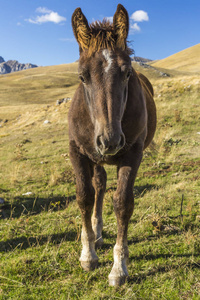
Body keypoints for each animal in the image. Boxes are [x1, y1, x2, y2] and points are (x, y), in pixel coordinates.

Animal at [68, 4, 156, 286]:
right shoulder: (77, 151)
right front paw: (88, 254)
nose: (110, 141)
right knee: (98, 185)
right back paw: (95, 234)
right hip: (94, 155)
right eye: (82, 76)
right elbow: (84, 197)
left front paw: (119, 267)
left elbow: (122, 203)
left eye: (127, 73)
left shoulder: (133, 154)